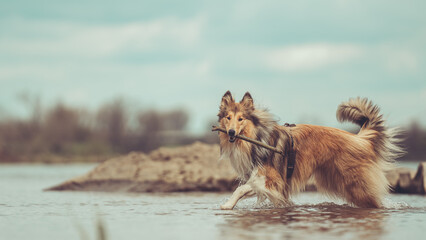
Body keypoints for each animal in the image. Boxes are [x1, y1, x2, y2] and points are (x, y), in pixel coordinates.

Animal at [218, 91, 402, 209]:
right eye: (228, 118)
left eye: (241, 119)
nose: (231, 132)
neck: (256, 138)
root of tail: (361, 139)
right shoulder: (268, 182)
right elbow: (245, 190)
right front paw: (229, 204)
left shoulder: (271, 179)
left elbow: (241, 188)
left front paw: (226, 205)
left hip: (357, 186)